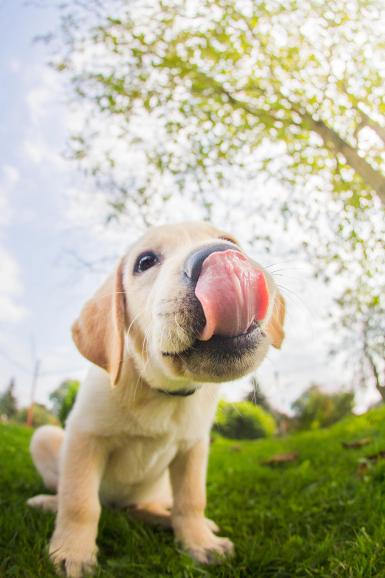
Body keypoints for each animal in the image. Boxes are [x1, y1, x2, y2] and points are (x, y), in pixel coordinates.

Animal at [27, 222, 284, 576]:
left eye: (229, 241)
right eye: (145, 261)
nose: (222, 256)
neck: (163, 392)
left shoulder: (193, 448)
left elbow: (191, 499)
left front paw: (200, 542)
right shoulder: (84, 437)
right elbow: (80, 501)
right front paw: (73, 552)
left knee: (150, 506)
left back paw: (168, 518)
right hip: (44, 436)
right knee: (74, 495)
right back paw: (47, 503)